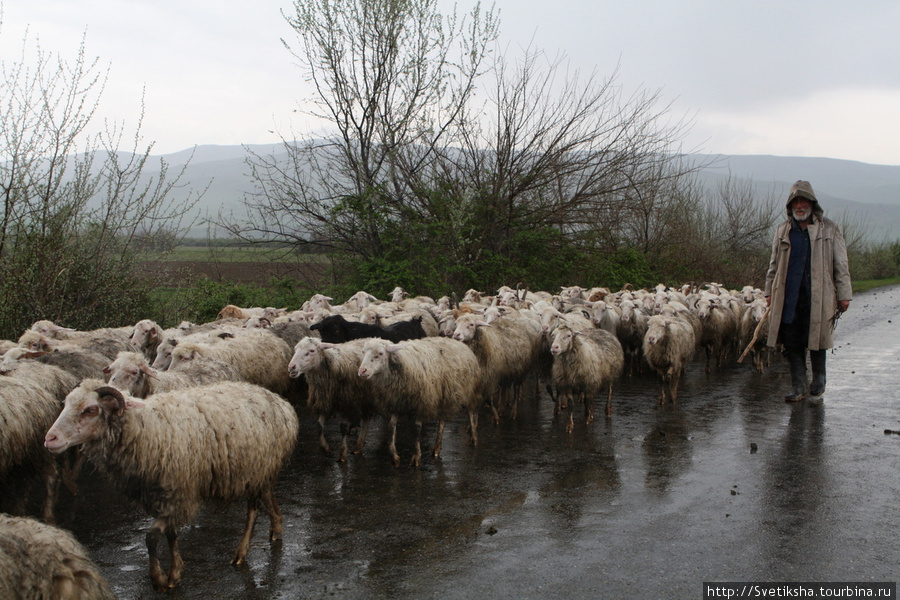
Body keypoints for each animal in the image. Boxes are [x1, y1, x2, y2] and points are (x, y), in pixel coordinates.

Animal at [44, 380, 298, 592]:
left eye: (90, 409)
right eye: (66, 404)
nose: (50, 439)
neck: (144, 428)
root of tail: (282, 404)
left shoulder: (178, 493)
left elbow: (151, 537)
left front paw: (160, 578)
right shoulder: (166, 494)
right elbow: (171, 535)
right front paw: (175, 572)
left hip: (255, 470)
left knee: (252, 511)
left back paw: (241, 551)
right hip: (261, 471)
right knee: (268, 497)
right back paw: (276, 526)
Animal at [356, 338, 486, 468]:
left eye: (380, 353)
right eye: (363, 352)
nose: (362, 371)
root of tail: (457, 342)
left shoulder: (421, 403)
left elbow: (417, 429)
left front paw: (416, 457)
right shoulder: (395, 403)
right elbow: (391, 426)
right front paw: (394, 457)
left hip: (471, 391)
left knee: (471, 413)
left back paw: (474, 438)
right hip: (444, 396)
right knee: (442, 421)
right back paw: (437, 447)